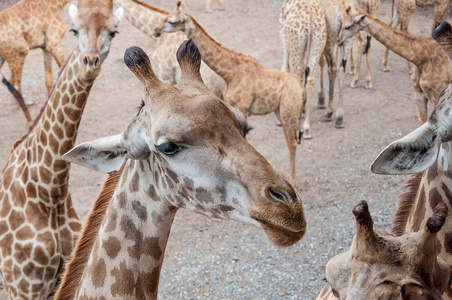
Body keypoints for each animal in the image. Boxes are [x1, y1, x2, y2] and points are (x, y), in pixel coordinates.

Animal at [0, 1, 123, 298]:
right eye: (74, 30)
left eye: (113, 31)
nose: (90, 63)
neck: (50, 189)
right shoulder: (23, 287)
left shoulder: (61, 275)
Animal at [154, 2, 306, 185]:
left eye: (171, 21)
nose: (156, 30)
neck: (229, 72)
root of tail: (300, 86)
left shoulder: (243, 108)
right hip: (279, 111)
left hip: (288, 113)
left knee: (292, 142)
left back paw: (293, 181)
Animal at [278, 0, 324, 139]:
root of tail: (310, 23)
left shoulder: (283, 34)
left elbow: (284, 67)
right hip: (318, 44)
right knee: (310, 79)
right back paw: (307, 128)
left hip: (295, 45)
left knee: (297, 77)